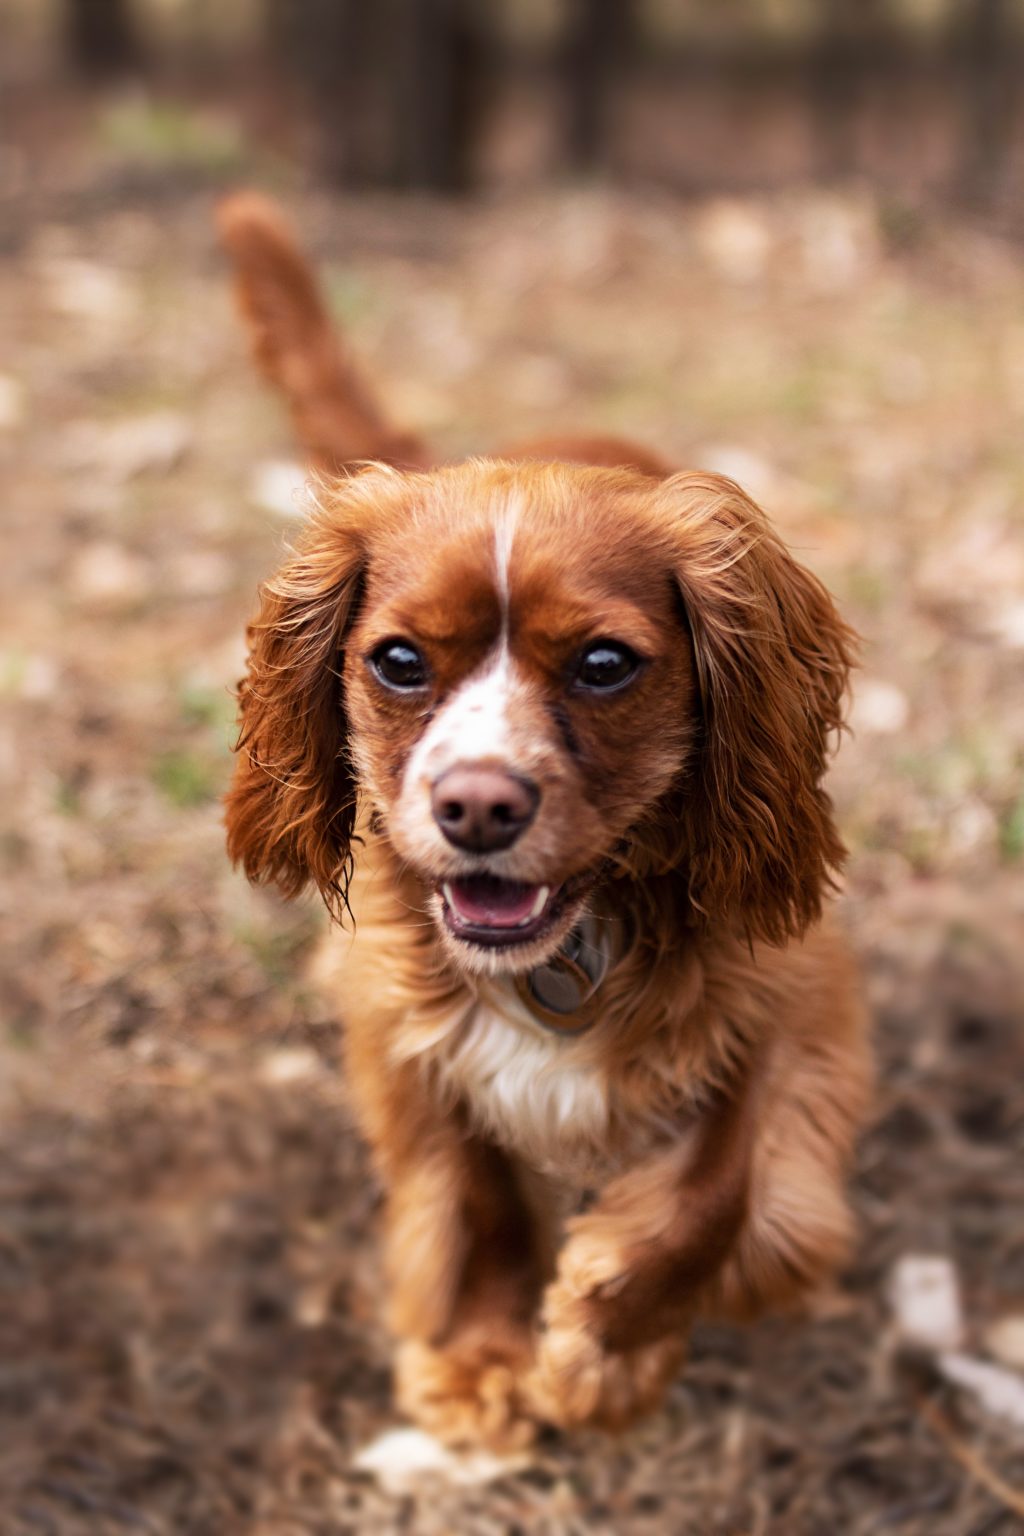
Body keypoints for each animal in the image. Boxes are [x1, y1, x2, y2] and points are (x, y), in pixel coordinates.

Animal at [218, 195, 872, 1449]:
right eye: (399, 661)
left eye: (606, 664)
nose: (477, 804)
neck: (572, 944)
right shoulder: (405, 1027)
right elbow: (475, 1199)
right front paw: (481, 1358)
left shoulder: (793, 997)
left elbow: (720, 1192)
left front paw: (602, 1349)